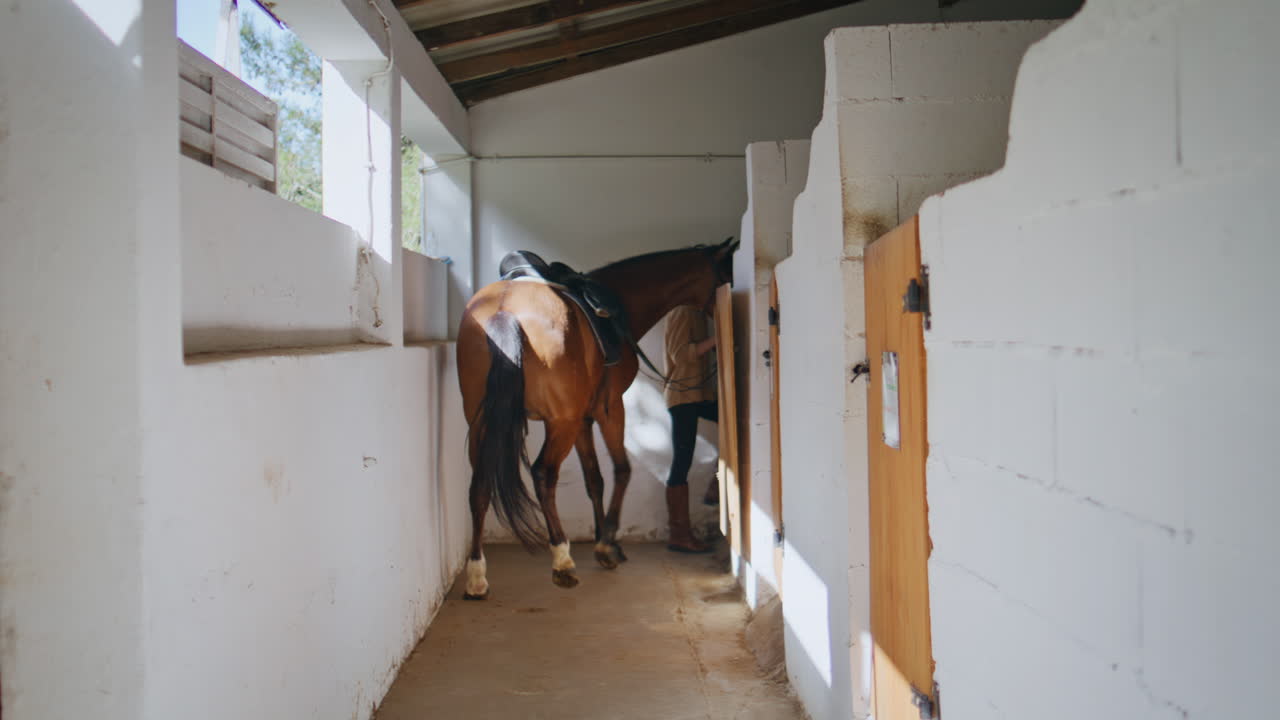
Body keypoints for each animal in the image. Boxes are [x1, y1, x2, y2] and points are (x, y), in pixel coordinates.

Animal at [455, 237, 739, 598]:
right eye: (727, 273)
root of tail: (505, 310)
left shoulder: (583, 419)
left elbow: (594, 479)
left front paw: (606, 540)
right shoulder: (609, 408)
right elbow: (622, 470)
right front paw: (607, 545)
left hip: (483, 422)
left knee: (479, 485)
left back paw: (477, 576)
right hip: (559, 423)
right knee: (543, 474)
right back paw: (562, 560)